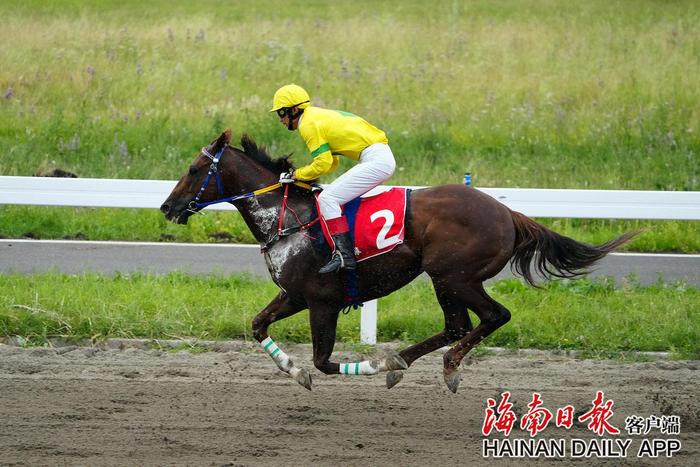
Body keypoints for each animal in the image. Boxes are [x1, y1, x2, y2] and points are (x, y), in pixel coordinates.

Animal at [161, 130, 636, 394]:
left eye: (193, 169)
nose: (167, 207)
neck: (287, 217)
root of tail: (507, 212)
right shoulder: (294, 295)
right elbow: (259, 326)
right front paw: (295, 373)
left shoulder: (321, 302)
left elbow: (324, 361)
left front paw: (370, 365)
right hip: (447, 281)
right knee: (458, 325)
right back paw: (411, 365)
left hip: (454, 276)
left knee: (491, 317)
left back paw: (433, 367)